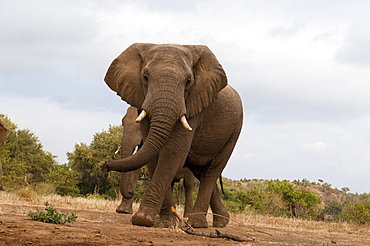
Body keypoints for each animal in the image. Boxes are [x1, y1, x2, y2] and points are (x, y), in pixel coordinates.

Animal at [103, 43, 243, 228]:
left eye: (188, 82)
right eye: (145, 78)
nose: (105, 165)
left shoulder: (193, 105)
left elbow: (172, 152)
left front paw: (143, 219)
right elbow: (153, 157)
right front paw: (166, 222)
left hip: (234, 131)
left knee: (210, 172)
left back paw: (197, 223)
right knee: (202, 171)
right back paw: (220, 222)